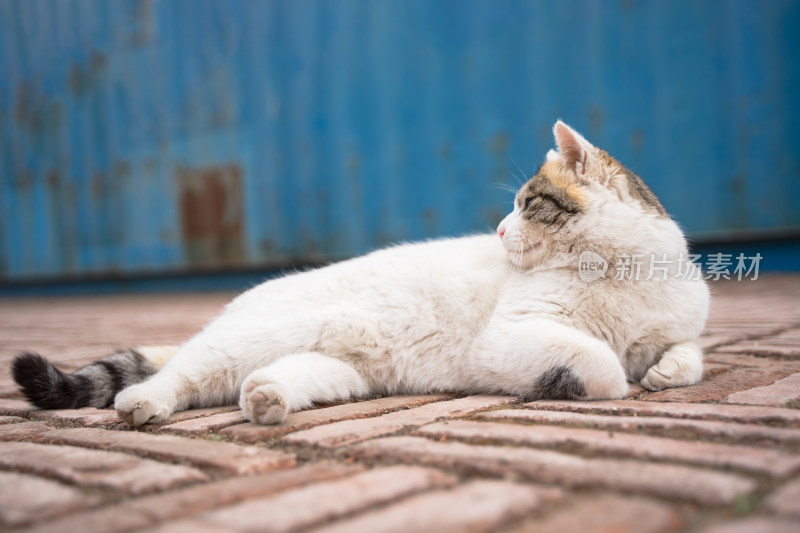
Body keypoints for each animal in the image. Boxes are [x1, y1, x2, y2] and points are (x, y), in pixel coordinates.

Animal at [10, 119, 708, 424]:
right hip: (243, 342)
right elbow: (602, 364)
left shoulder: (681, 326)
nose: (498, 229)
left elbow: (689, 353)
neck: (619, 273)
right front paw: (600, 381)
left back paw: (266, 400)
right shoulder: (513, 336)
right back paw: (143, 404)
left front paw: (665, 371)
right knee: (178, 374)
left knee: (272, 380)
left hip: (335, 370)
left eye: (524, 202)